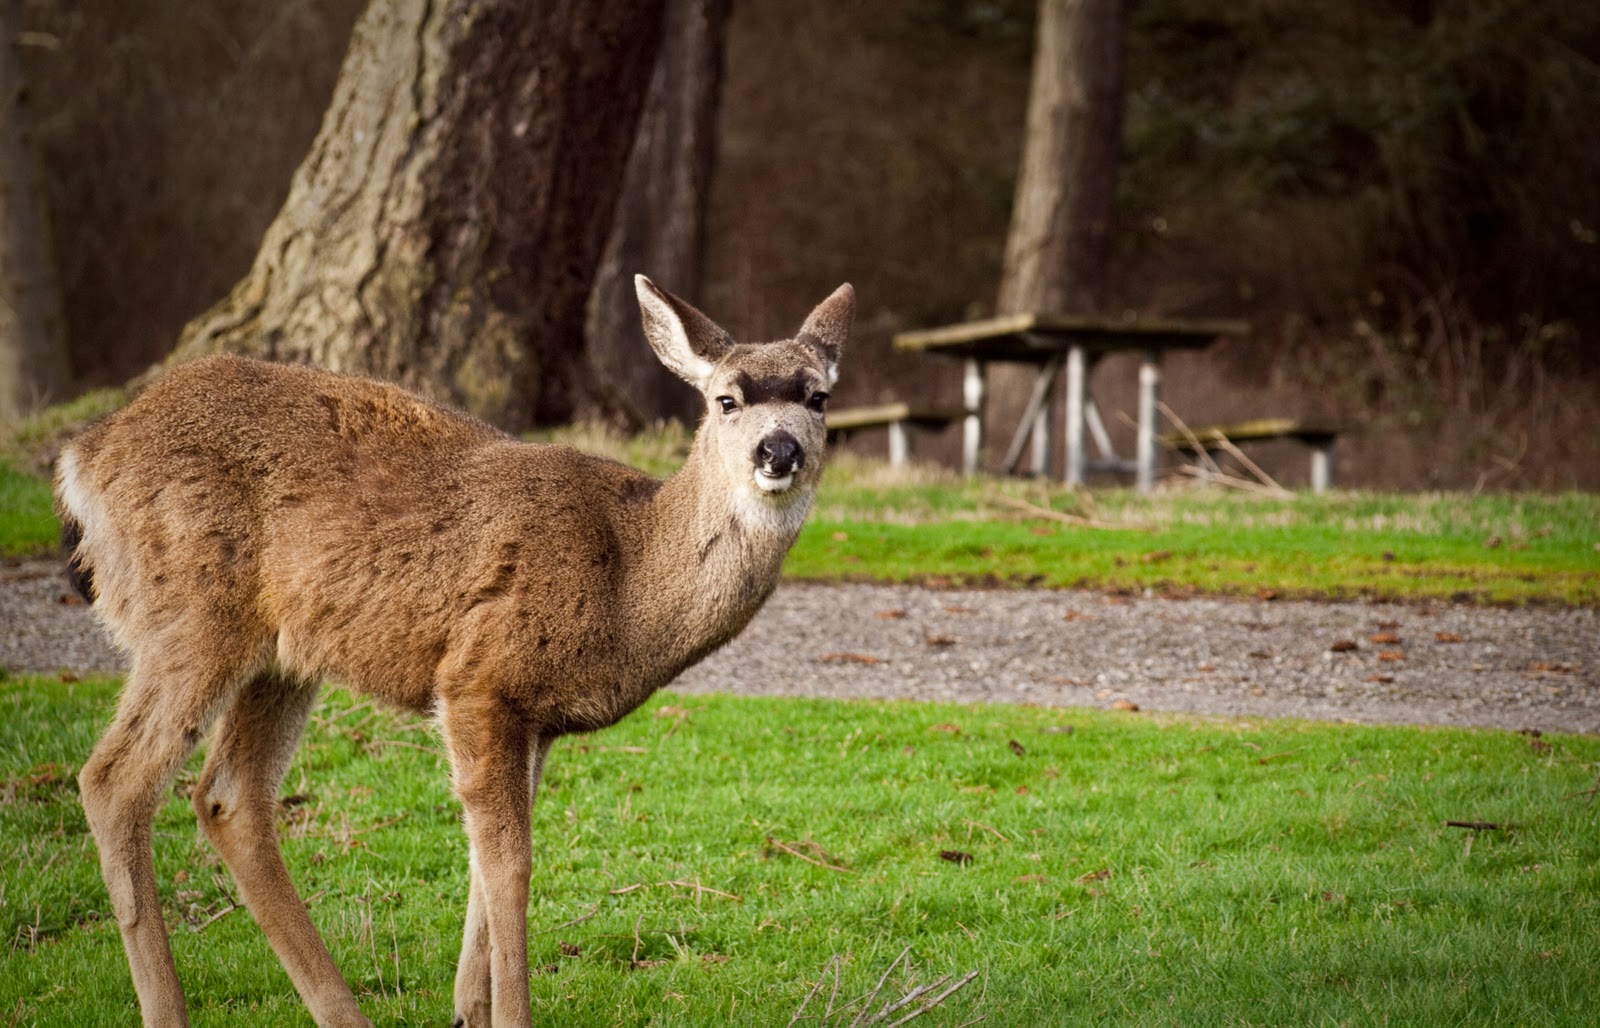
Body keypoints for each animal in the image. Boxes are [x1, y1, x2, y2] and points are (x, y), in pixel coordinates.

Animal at [54, 276, 852, 1028]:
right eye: (725, 399)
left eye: (818, 397)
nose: (777, 451)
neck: (627, 576)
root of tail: (83, 458)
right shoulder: (479, 675)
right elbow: (511, 865)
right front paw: (511, 1015)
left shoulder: (534, 716)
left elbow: (483, 859)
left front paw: (468, 1010)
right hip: (192, 613)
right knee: (113, 780)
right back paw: (170, 1011)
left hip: (280, 653)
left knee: (227, 797)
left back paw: (344, 1015)